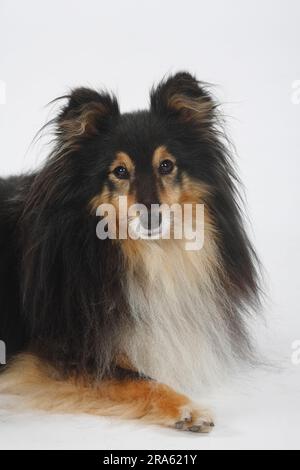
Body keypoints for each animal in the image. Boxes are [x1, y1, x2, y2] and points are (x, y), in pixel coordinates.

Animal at [0, 71, 260, 432]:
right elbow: (135, 378)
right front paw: (187, 409)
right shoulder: (51, 356)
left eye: (166, 165)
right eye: (119, 171)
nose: (152, 216)